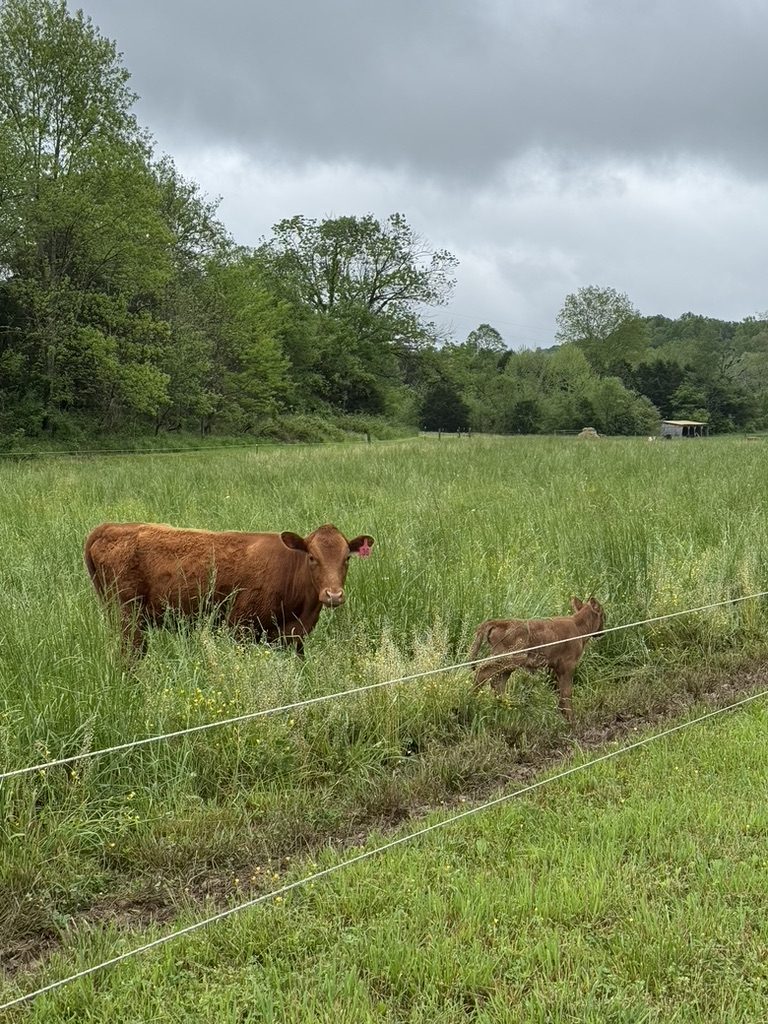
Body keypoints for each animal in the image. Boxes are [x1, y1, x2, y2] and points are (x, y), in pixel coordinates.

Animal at [84, 521, 374, 656]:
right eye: (312, 557)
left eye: (347, 558)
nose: (333, 594)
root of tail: (111, 527)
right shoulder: (239, 627)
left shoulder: (292, 638)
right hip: (128, 617)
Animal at [468, 596, 604, 724]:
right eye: (603, 614)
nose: (602, 632)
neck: (578, 626)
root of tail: (496, 622)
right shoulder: (568, 666)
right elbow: (567, 692)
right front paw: (571, 720)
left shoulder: (556, 668)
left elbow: (559, 691)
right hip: (510, 659)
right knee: (482, 672)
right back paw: (472, 700)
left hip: (508, 665)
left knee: (498, 683)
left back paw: (505, 707)